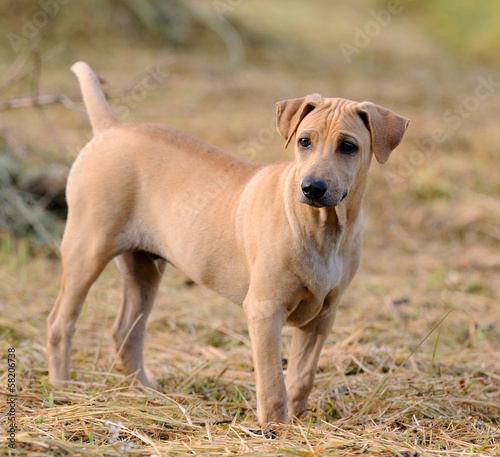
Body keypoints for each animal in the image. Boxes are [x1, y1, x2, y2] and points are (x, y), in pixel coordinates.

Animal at [46, 60, 410, 428]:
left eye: (348, 147)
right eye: (304, 141)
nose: (312, 188)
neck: (324, 227)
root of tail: (111, 128)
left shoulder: (322, 317)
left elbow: (301, 377)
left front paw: (299, 423)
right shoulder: (264, 311)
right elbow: (272, 382)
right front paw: (275, 429)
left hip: (143, 268)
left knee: (126, 332)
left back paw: (147, 392)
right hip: (87, 249)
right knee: (61, 323)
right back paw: (63, 390)